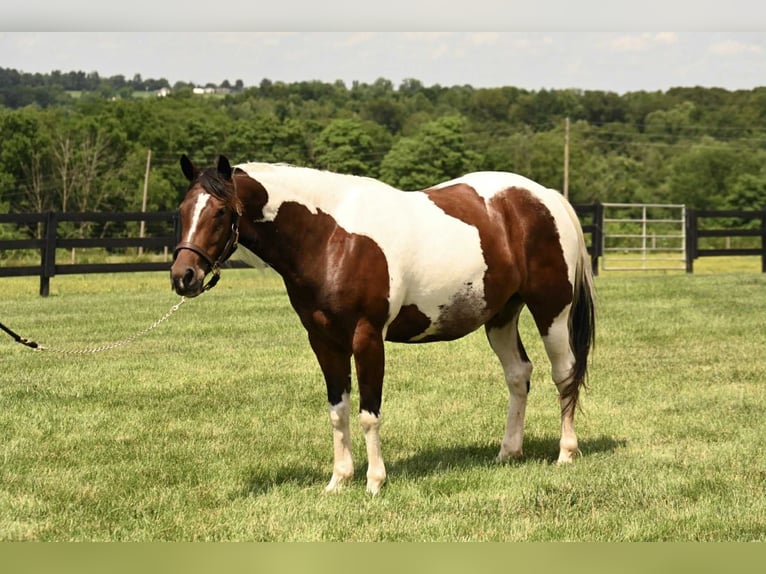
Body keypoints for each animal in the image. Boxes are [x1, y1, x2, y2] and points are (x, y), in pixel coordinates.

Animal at [170, 155, 596, 495]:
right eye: (183, 210)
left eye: (221, 212)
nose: (183, 276)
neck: (331, 237)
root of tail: (546, 197)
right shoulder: (324, 341)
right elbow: (338, 410)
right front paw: (339, 479)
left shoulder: (367, 338)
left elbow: (368, 413)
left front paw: (375, 481)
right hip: (502, 315)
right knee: (518, 375)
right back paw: (508, 452)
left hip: (551, 311)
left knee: (564, 373)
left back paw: (566, 452)